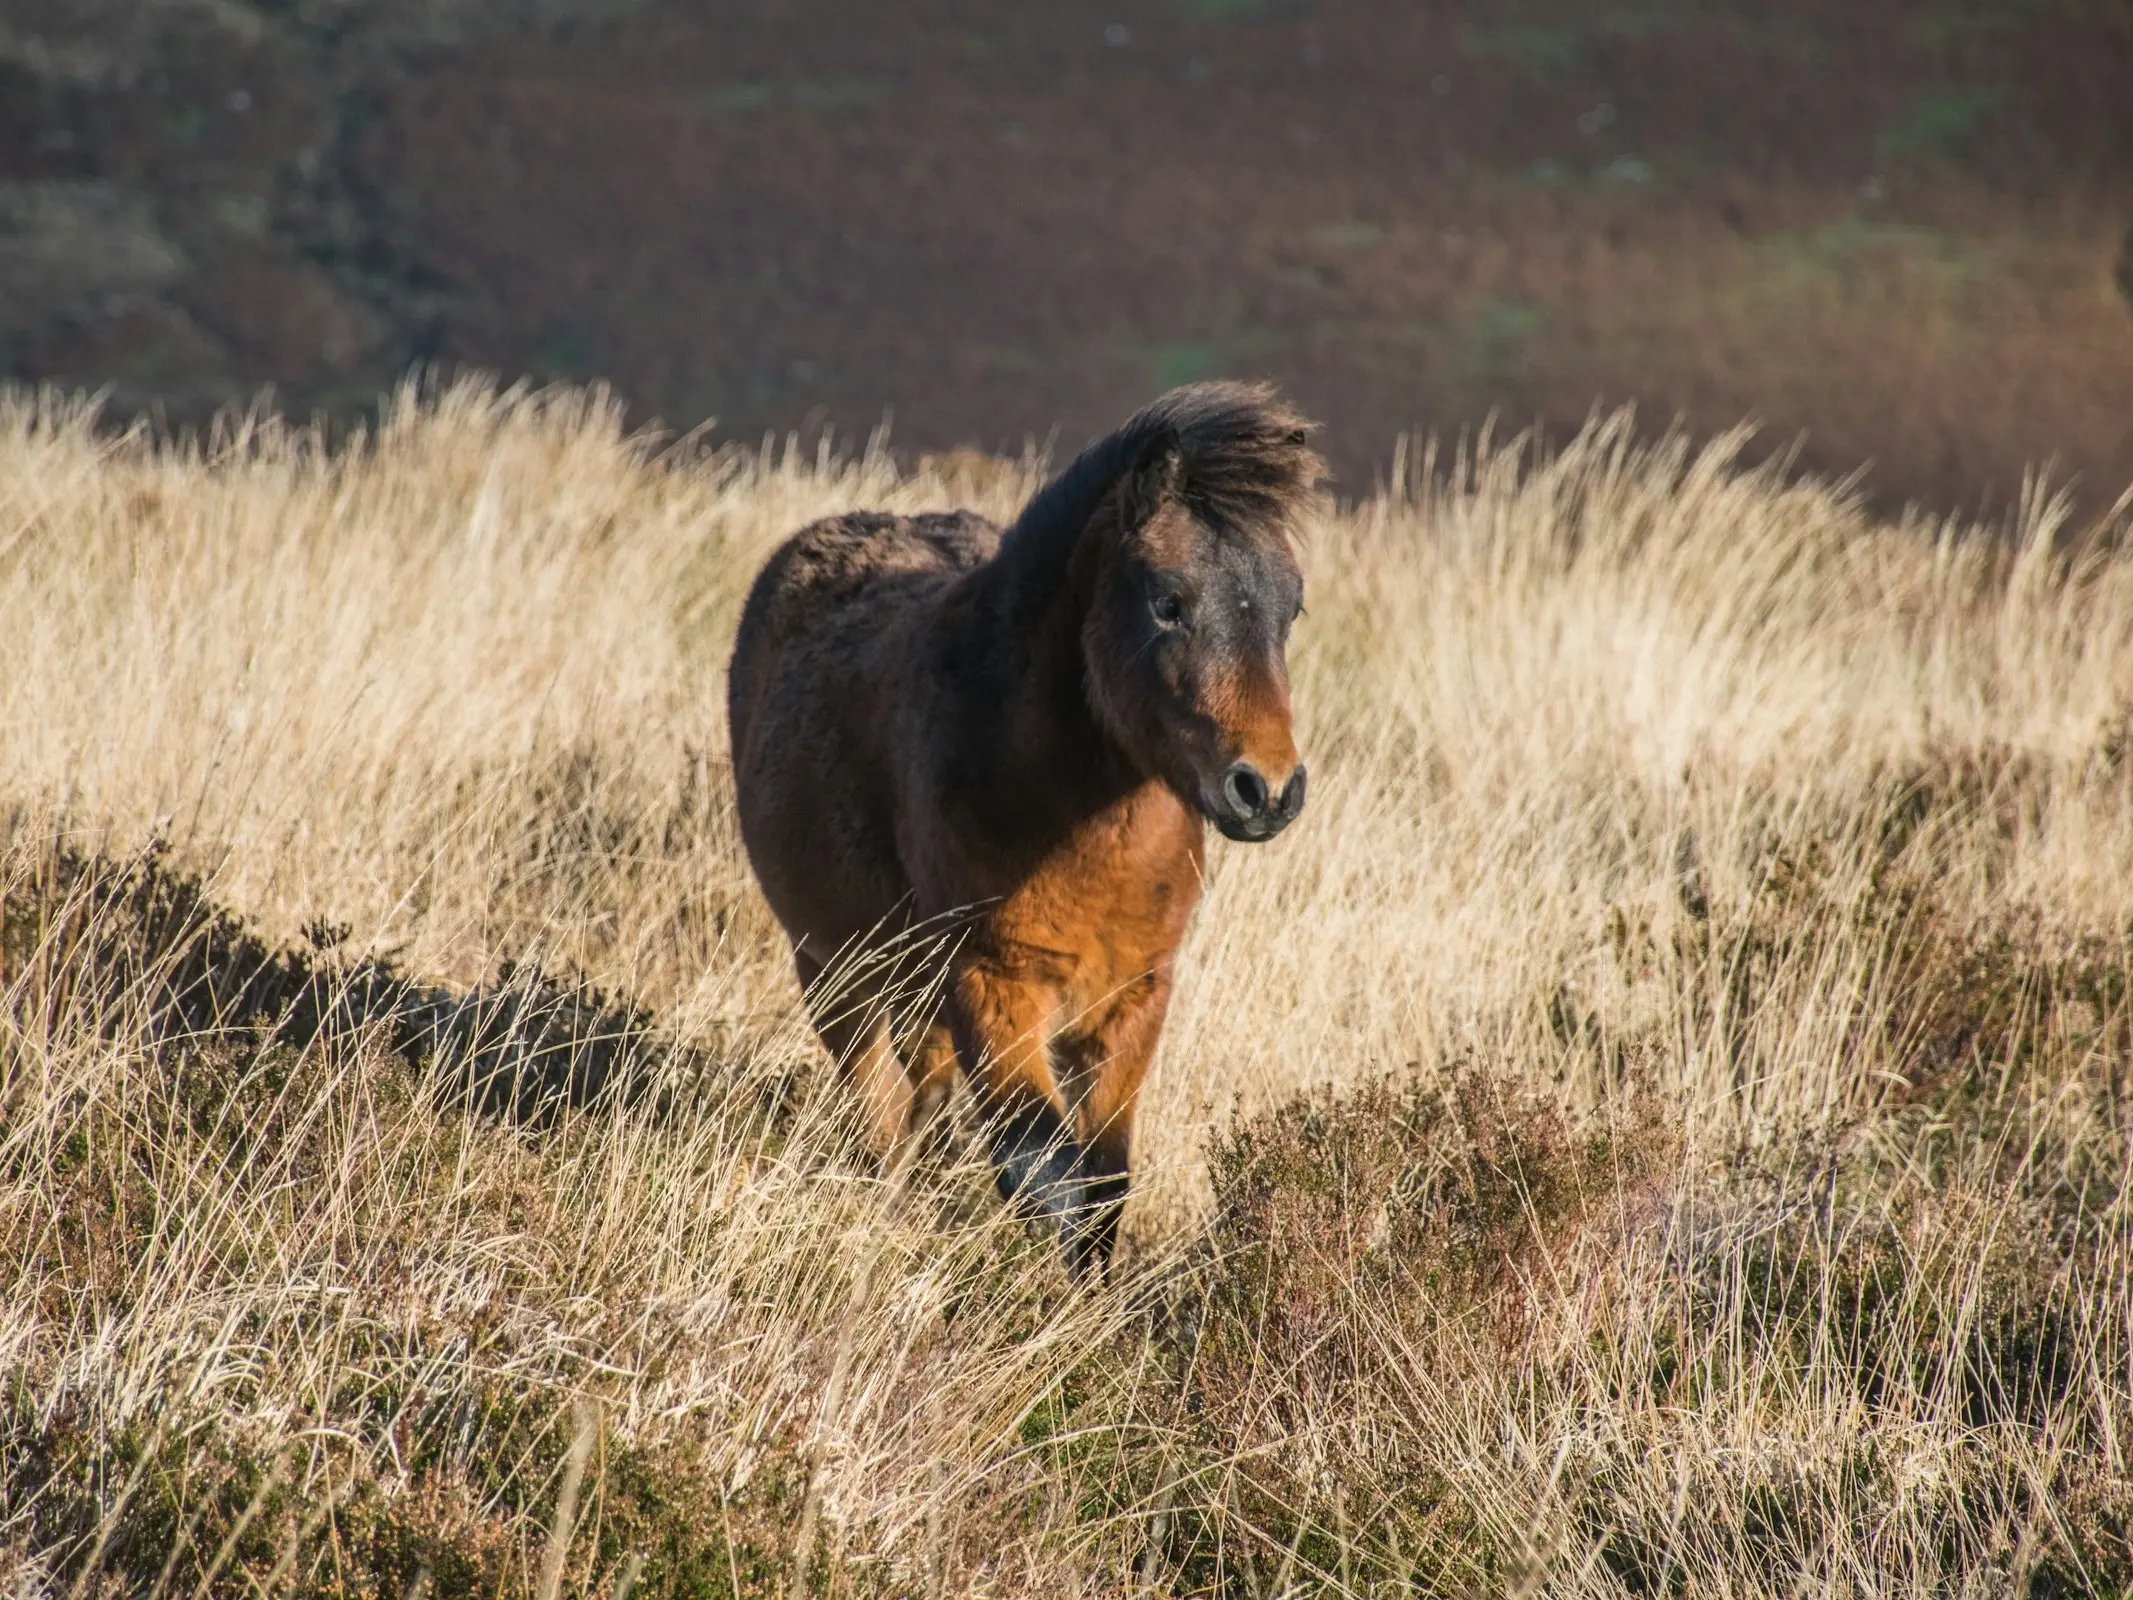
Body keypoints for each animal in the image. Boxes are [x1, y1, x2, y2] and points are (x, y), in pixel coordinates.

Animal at [729, 386, 1313, 1280]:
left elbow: (1103, 1180)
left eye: (1291, 606)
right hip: (834, 970)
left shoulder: (1133, 999)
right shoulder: (994, 982)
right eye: (1167, 602)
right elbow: (1045, 1173)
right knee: (878, 1114)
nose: (1267, 790)